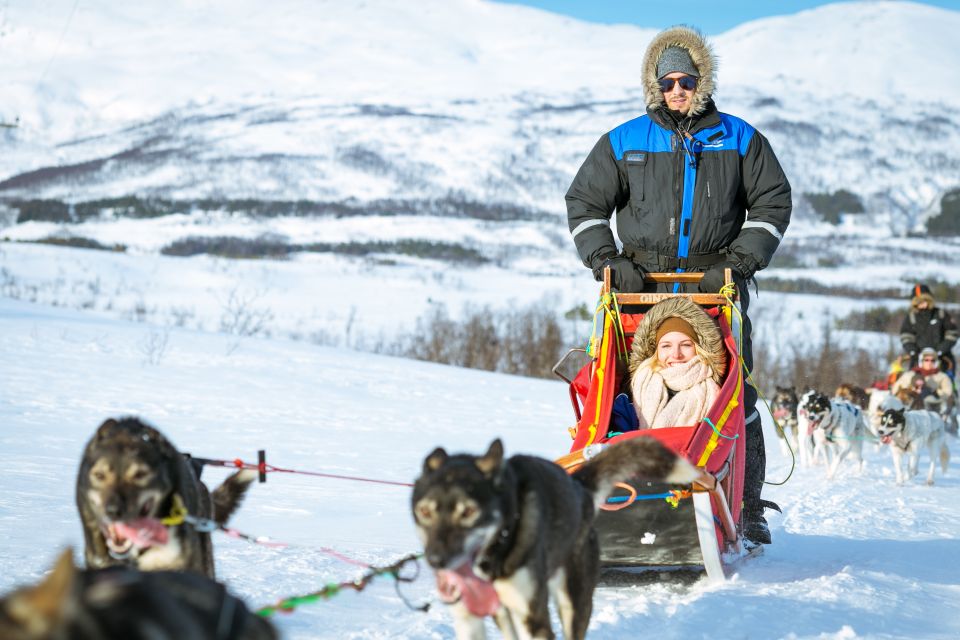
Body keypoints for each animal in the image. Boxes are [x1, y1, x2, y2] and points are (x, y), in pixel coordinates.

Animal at [412, 438, 696, 640]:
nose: (436, 560)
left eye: (469, 511)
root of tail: (578, 487)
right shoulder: (469, 619)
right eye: (424, 511)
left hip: (573, 601)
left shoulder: (534, 619)